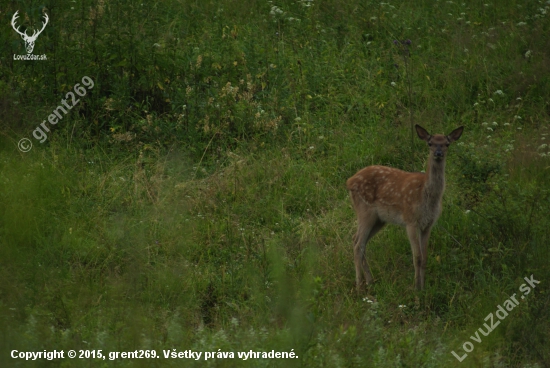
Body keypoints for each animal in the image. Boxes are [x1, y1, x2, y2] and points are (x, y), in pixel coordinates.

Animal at [350, 125, 466, 292]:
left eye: (447, 144)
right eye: (430, 143)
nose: (438, 153)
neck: (426, 196)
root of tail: (349, 181)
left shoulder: (428, 224)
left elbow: (425, 257)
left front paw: (423, 288)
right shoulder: (410, 221)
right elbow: (416, 257)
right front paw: (416, 289)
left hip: (379, 220)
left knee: (358, 241)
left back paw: (370, 281)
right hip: (365, 211)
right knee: (358, 244)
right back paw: (360, 286)